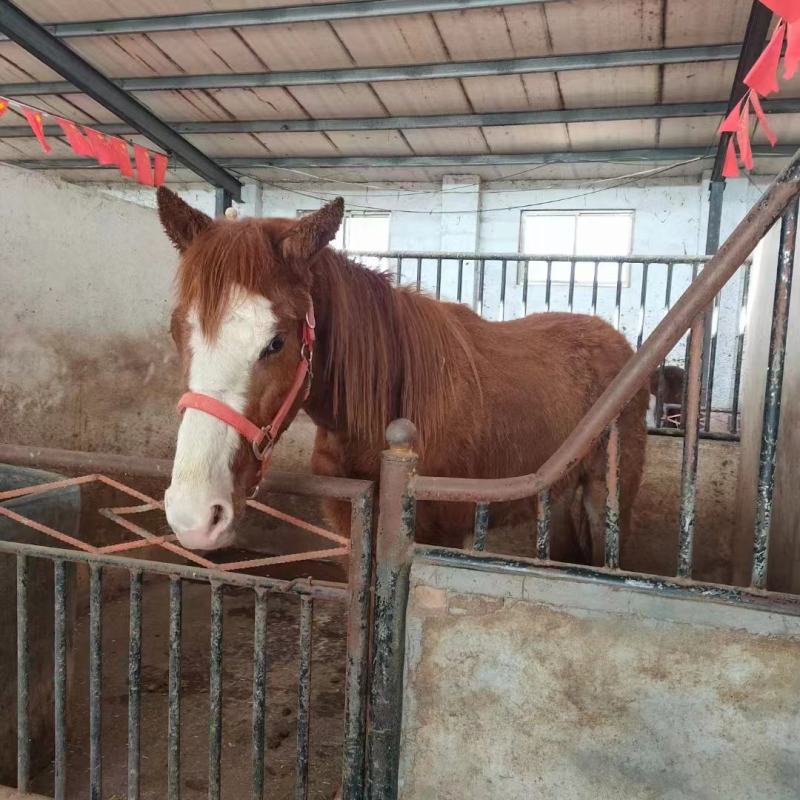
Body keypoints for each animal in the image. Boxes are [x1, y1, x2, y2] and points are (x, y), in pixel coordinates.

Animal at [157, 187, 648, 565]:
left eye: (275, 342)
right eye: (178, 330)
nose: (194, 516)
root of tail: (618, 342)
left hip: (607, 500)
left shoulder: (436, 537)